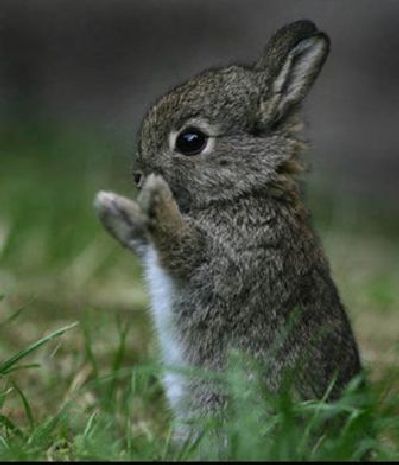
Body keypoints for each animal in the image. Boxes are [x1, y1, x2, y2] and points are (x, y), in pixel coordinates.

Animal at [94, 20, 362, 436]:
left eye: (191, 141)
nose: (138, 176)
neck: (246, 190)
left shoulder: (226, 258)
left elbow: (179, 245)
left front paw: (155, 195)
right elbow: (146, 239)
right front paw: (111, 206)